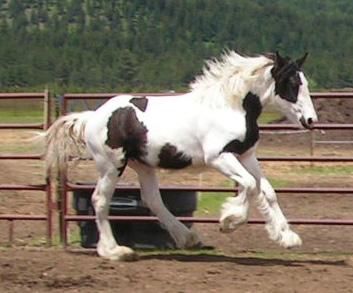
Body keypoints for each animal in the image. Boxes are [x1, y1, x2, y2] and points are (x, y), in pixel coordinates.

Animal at [43, 51, 316, 258]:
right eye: (293, 84)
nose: (311, 120)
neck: (230, 106)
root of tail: (92, 117)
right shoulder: (219, 157)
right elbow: (249, 185)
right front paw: (229, 221)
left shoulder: (246, 155)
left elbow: (267, 191)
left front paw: (287, 237)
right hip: (112, 164)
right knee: (100, 199)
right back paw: (115, 251)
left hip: (143, 165)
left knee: (152, 200)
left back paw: (188, 238)